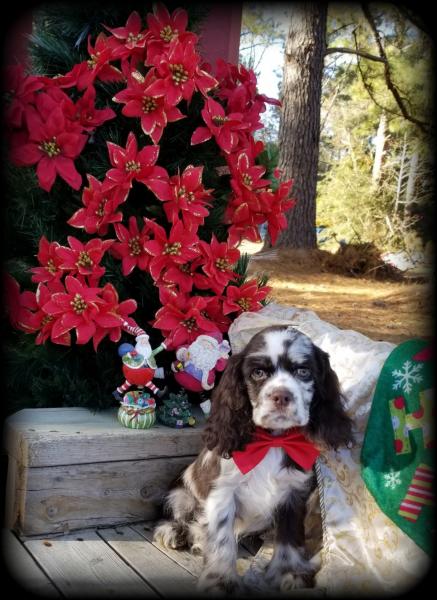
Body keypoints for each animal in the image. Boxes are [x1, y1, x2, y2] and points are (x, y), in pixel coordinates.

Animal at [152, 328, 350, 596]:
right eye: (258, 373)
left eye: (303, 371)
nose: (281, 396)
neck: (272, 441)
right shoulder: (222, 493)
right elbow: (222, 539)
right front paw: (221, 582)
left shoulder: (294, 494)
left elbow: (289, 539)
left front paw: (288, 573)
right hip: (181, 494)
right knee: (179, 514)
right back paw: (174, 532)